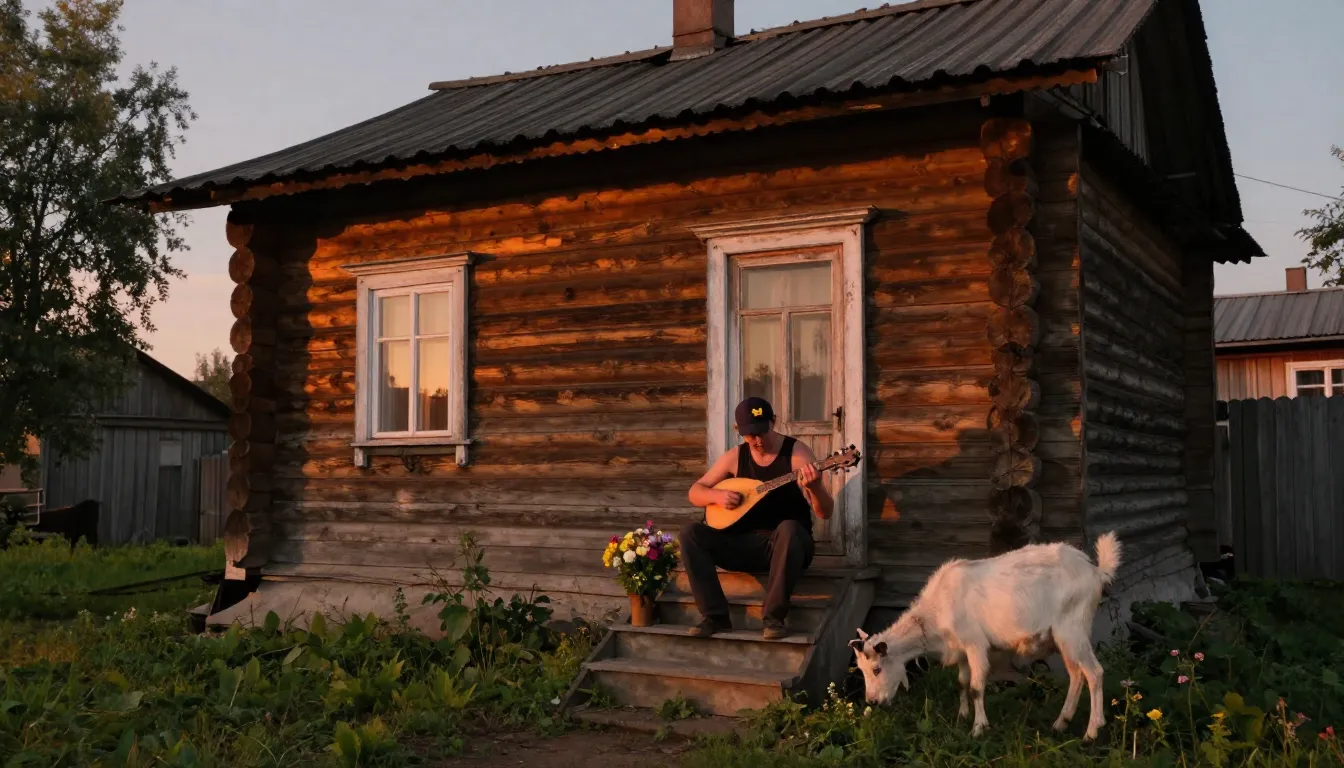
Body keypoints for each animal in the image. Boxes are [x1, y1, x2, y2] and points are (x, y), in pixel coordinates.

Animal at [849, 531, 1122, 741]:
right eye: (861, 670)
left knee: (1094, 673)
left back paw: (1091, 732)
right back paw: (1061, 723)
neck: (937, 611)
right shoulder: (959, 649)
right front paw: (962, 717)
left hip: (1073, 629)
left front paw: (978, 728)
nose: (872, 701)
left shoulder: (975, 644)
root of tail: (1096, 571)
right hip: (1064, 638)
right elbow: (961, 682)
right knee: (1076, 674)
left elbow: (976, 687)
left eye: (876, 669)